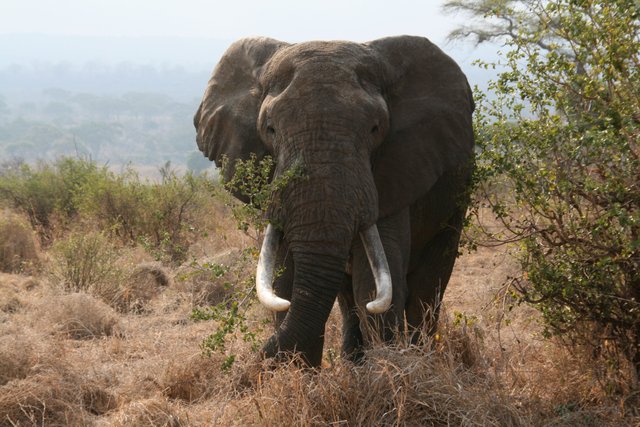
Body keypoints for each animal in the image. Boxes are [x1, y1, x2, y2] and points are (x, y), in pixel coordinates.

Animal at [195, 36, 476, 368]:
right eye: (270, 129)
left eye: (375, 128)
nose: (244, 370)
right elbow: (286, 281)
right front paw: (301, 376)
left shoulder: (395, 171)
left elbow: (372, 284)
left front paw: (389, 371)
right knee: (347, 297)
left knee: (428, 284)